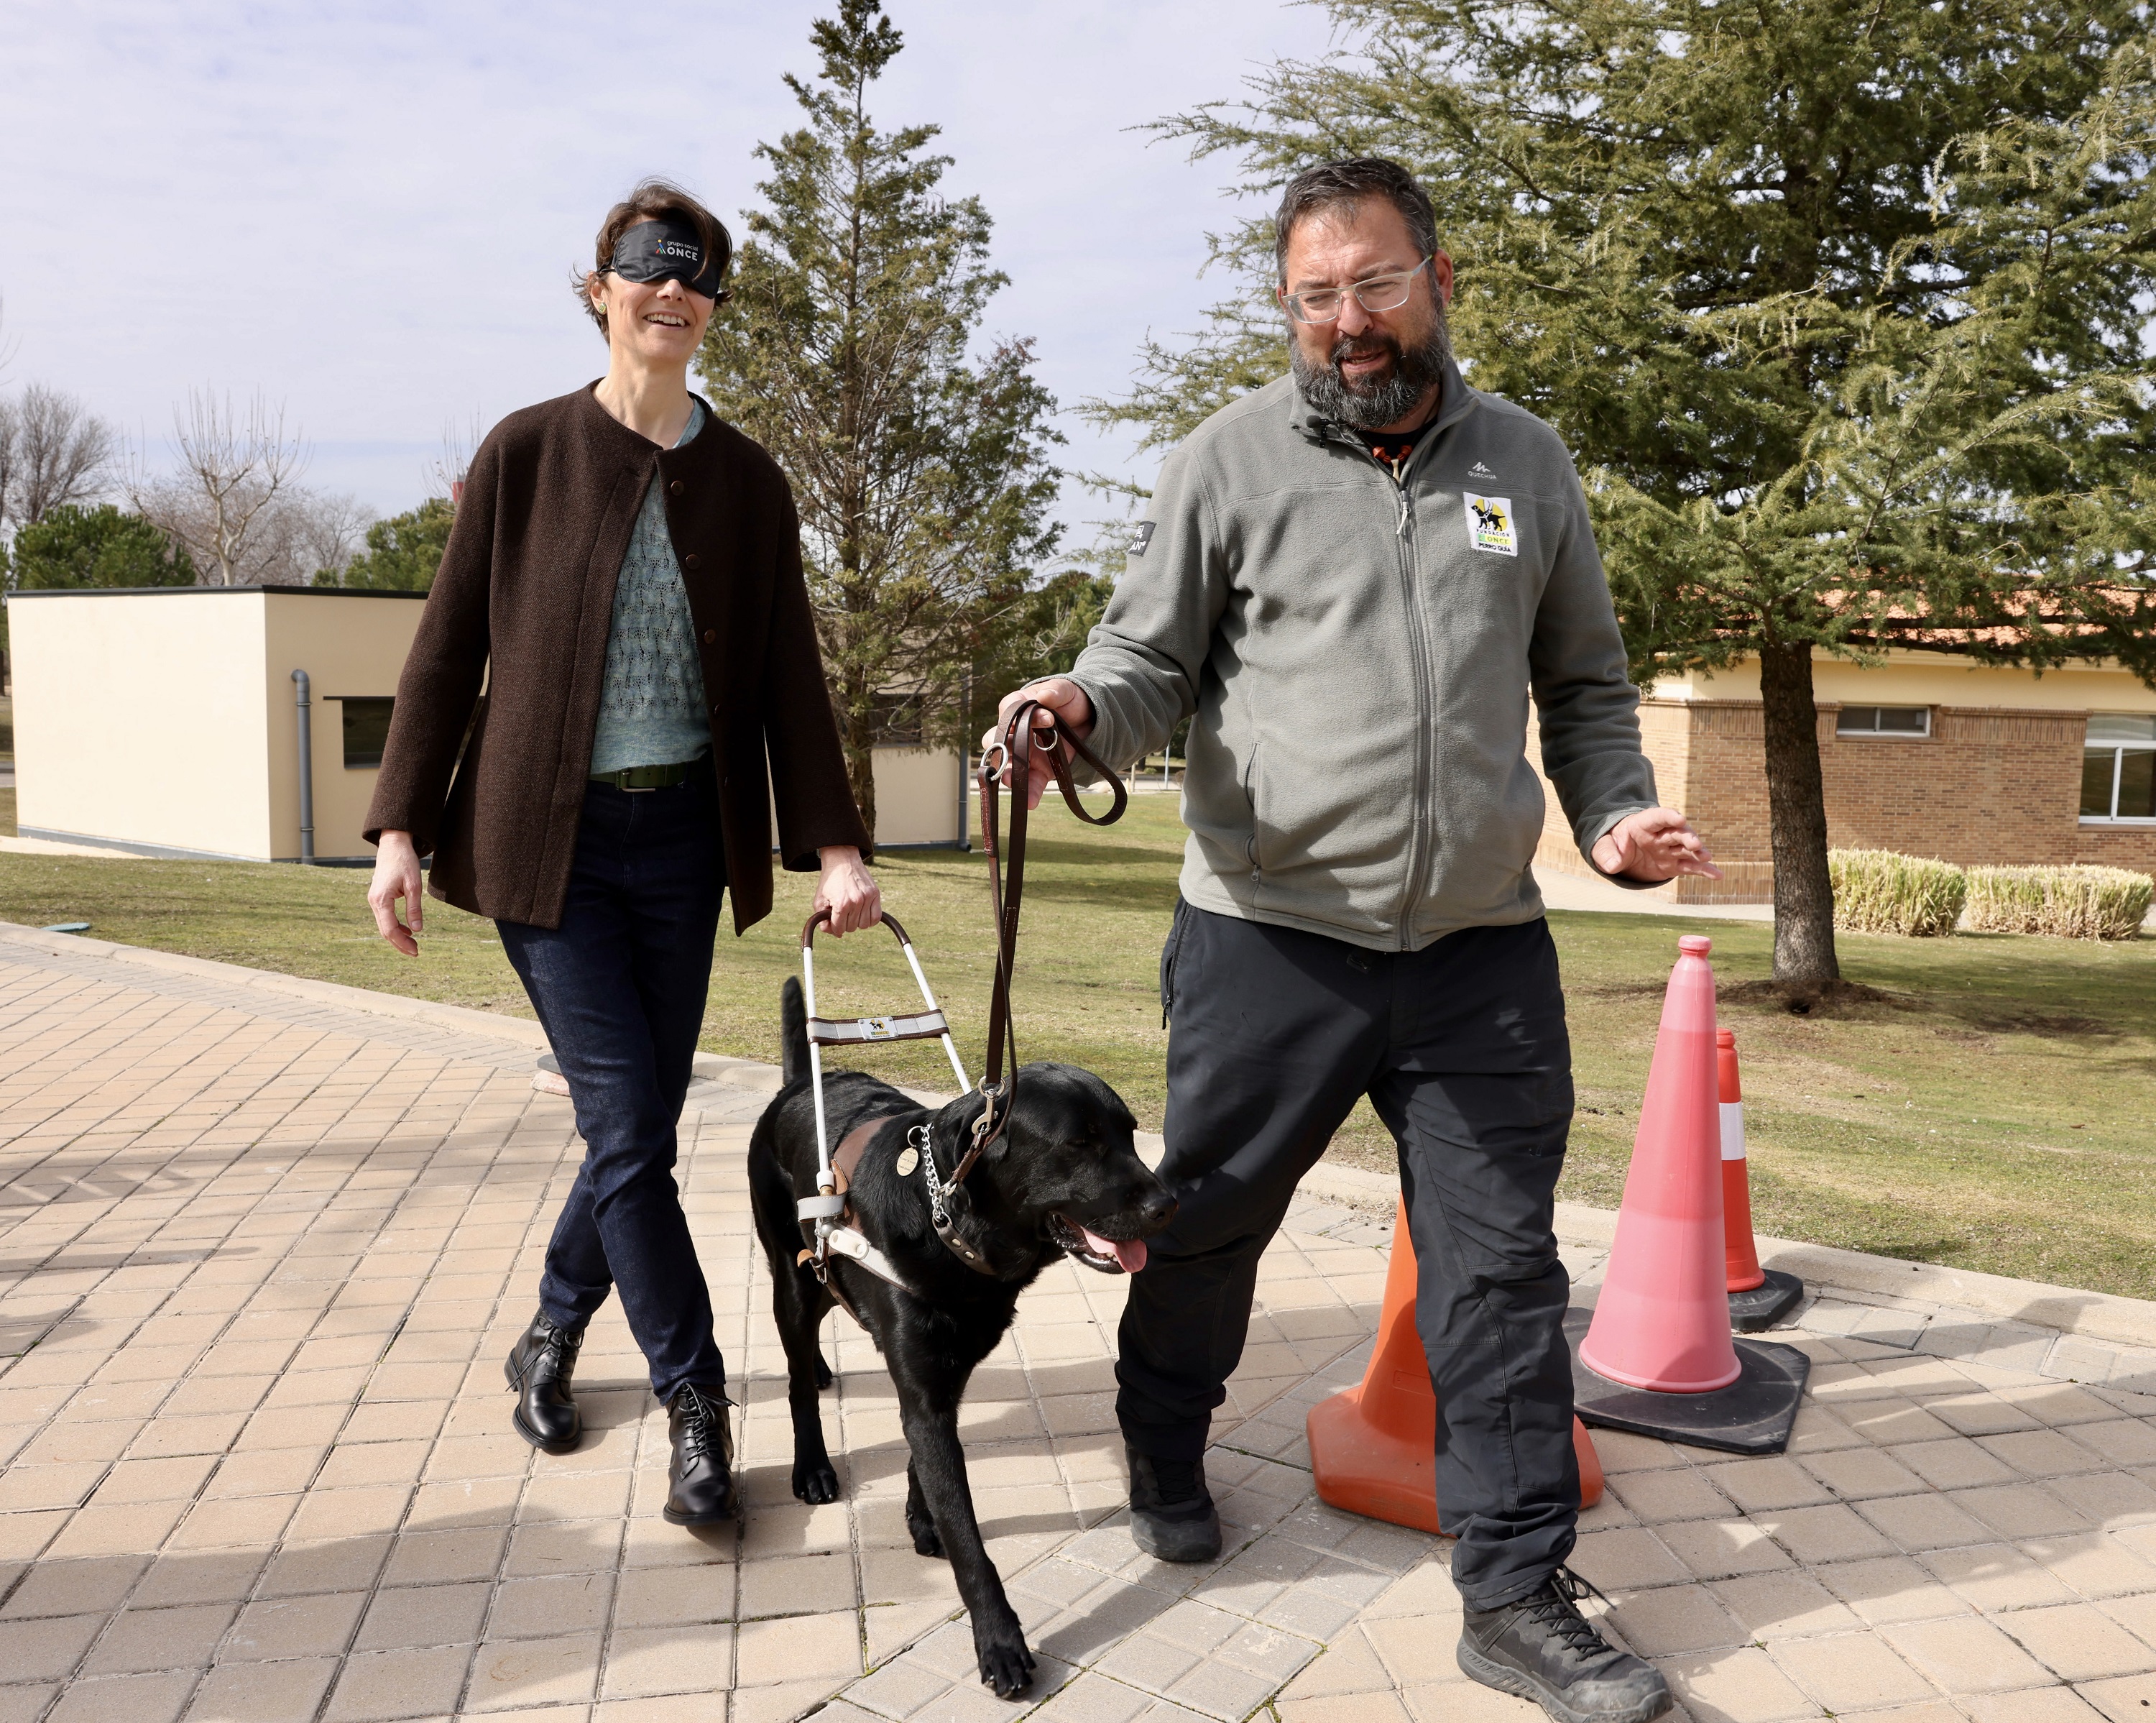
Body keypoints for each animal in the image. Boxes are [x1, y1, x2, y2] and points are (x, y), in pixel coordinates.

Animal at [746, 983, 1181, 1699]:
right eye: (1080, 1143)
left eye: (1130, 1133)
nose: (1168, 1203)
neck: (945, 1215)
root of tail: (795, 1085)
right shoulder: (925, 1388)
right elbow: (970, 1540)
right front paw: (1000, 1641)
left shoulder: (945, 1376)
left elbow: (927, 1465)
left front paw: (922, 1516)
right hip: (791, 1277)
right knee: (796, 1377)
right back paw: (811, 1462)